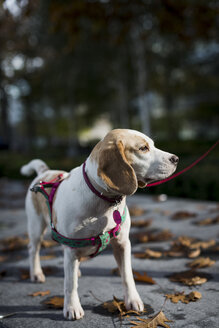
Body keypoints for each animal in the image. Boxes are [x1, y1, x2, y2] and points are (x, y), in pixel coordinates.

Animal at [21, 129, 178, 320]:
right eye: (143, 148)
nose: (176, 158)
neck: (103, 201)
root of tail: (45, 172)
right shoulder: (71, 247)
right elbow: (70, 284)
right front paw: (72, 307)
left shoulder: (122, 244)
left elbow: (127, 276)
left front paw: (133, 300)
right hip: (36, 227)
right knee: (33, 250)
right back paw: (37, 273)